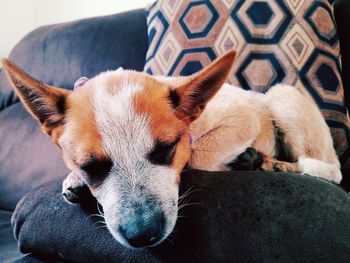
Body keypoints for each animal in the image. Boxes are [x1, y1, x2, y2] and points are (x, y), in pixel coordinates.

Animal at [2, 49, 342, 250]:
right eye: (90, 166)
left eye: (166, 149)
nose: (142, 235)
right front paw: (75, 181)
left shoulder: (240, 118)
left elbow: (197, 156)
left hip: (281, 96)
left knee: (328, 169)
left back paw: (271, 164)